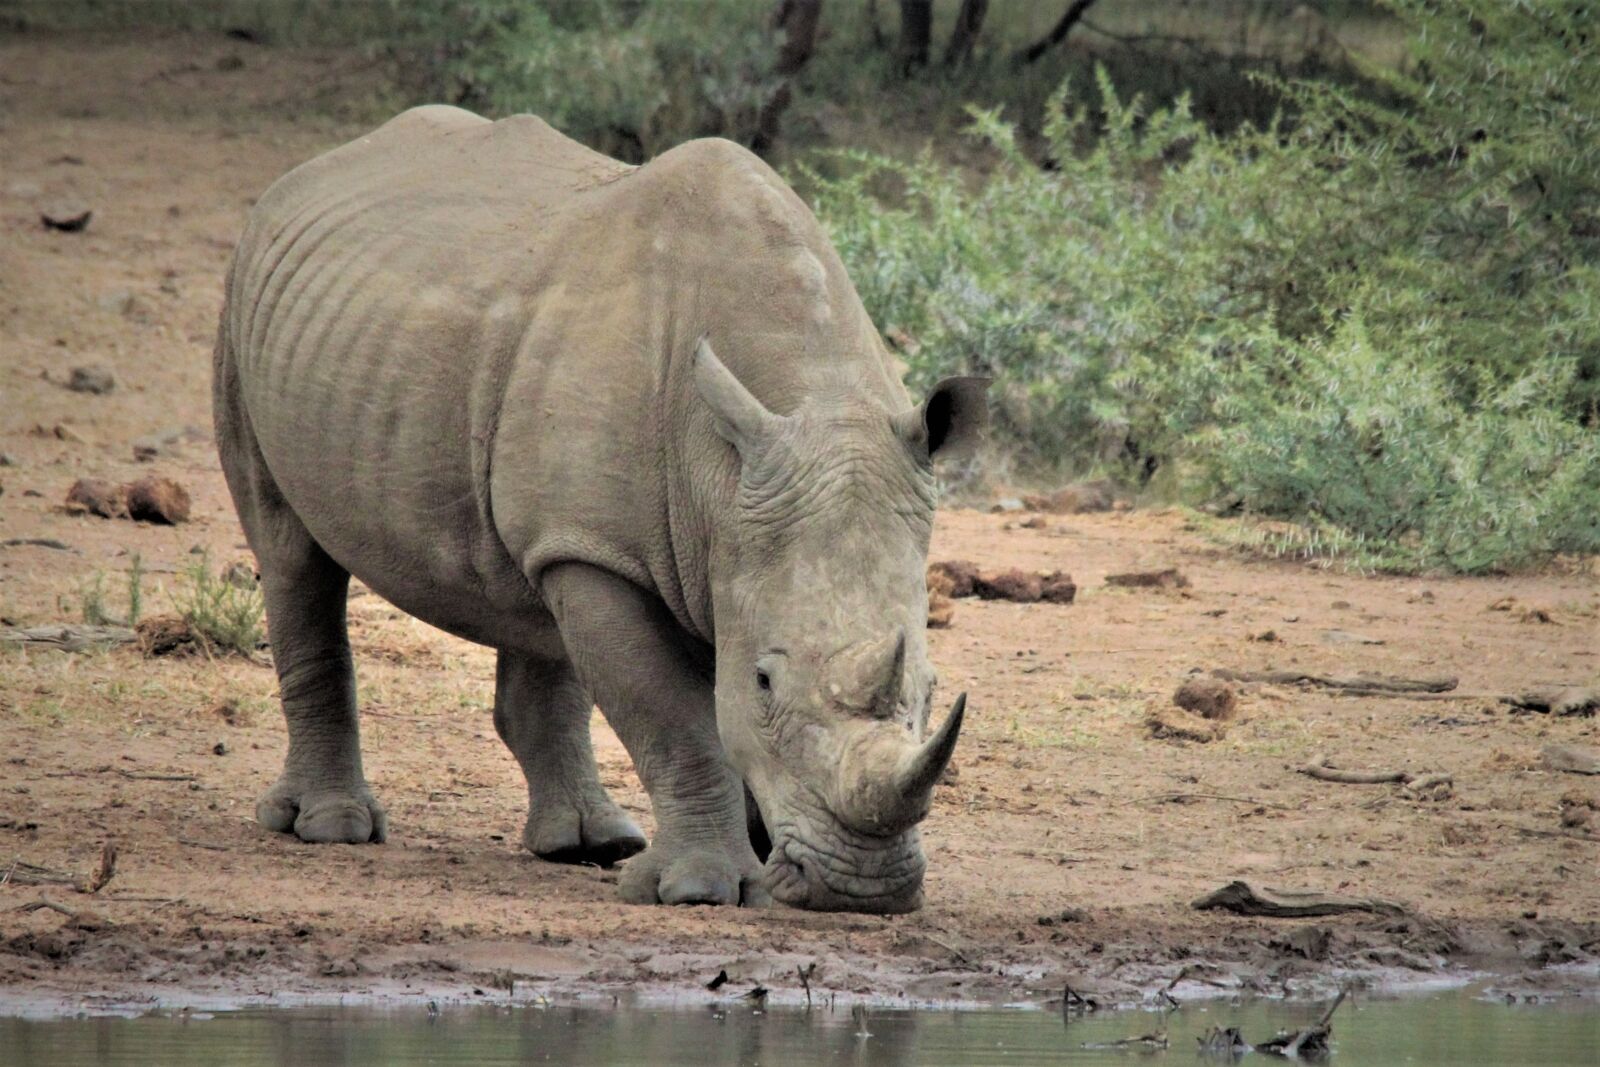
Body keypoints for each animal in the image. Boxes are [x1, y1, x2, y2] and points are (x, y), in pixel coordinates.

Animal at [214, 105, 987, 914]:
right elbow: (674, 715)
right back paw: (332, 827)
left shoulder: (691, 538)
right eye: (765, 682)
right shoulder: (604, 551)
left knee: (528, 591)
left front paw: (760, 858)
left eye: (933, 689)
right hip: (244, 307)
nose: (864, 888)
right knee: (290, 550)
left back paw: (589, 844)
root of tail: (311, 170)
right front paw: (703, 889)